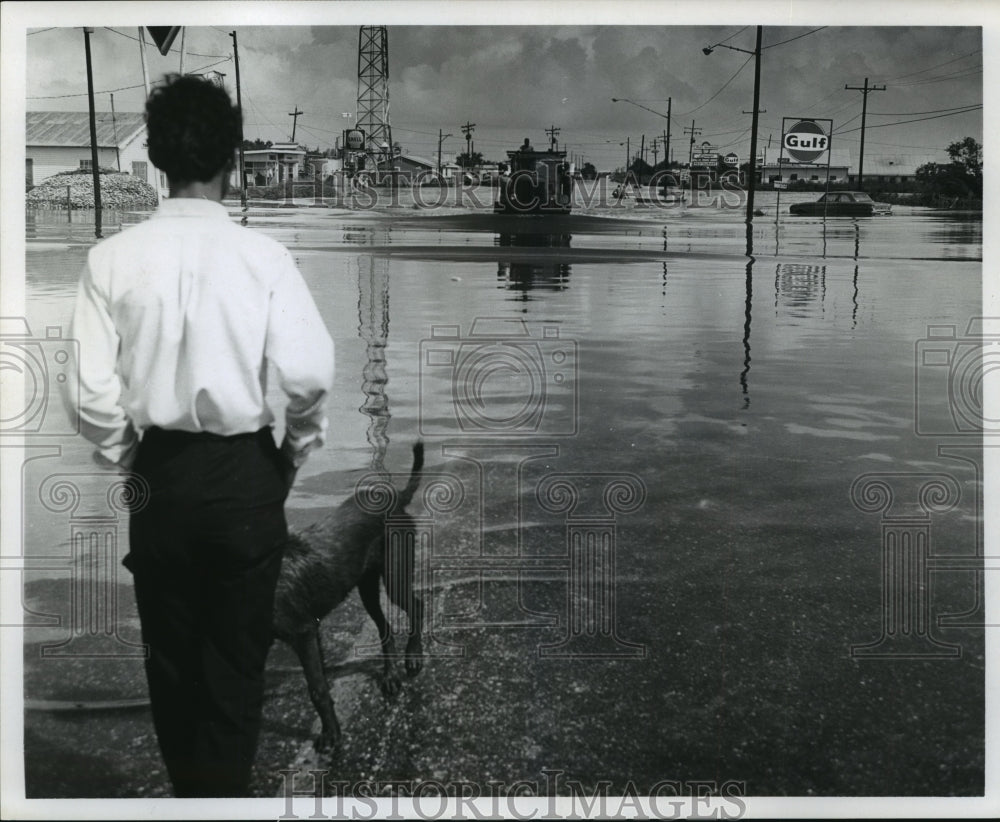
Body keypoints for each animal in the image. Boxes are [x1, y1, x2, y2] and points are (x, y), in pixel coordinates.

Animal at [274, 444, 426, 752]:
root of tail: (396, 500)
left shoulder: (303, 632)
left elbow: (317, 688)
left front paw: (331, 733)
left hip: (395, 578)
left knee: (417, 606)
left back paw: (413, 657)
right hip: (367, 587)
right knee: (385, 628)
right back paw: (390, 676)